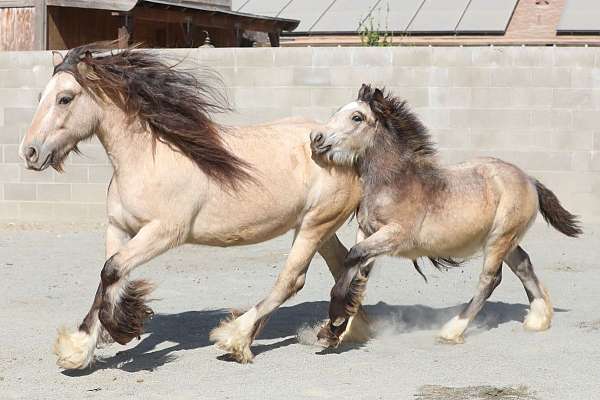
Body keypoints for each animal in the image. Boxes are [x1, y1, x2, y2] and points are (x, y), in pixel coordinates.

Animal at [18, 44, 366, 368]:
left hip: (314, 226)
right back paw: (341, 330)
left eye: (64, 98)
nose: (30, 152)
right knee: (343, 267)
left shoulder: (164, 233)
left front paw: (119, 330)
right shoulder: (118, 228)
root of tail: (346, 151)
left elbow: (111, 271)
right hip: (317, 227)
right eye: (42, 96)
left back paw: (236, 338)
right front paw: (79, 350)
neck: (146, 159)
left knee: (291, 280)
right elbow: (108, 279)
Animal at [312, 84, 584, 346]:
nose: (316, 138)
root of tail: (529, 179)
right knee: (523, 265)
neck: (395, 182)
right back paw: (538, 319)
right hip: (505, 240)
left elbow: (353, 257)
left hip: (500, 239)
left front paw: (335, 321)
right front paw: (334, 330)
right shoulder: (367, 231)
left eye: (356, 117)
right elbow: (356, 271)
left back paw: (452, 331)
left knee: (490, 279)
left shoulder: (395, 235)